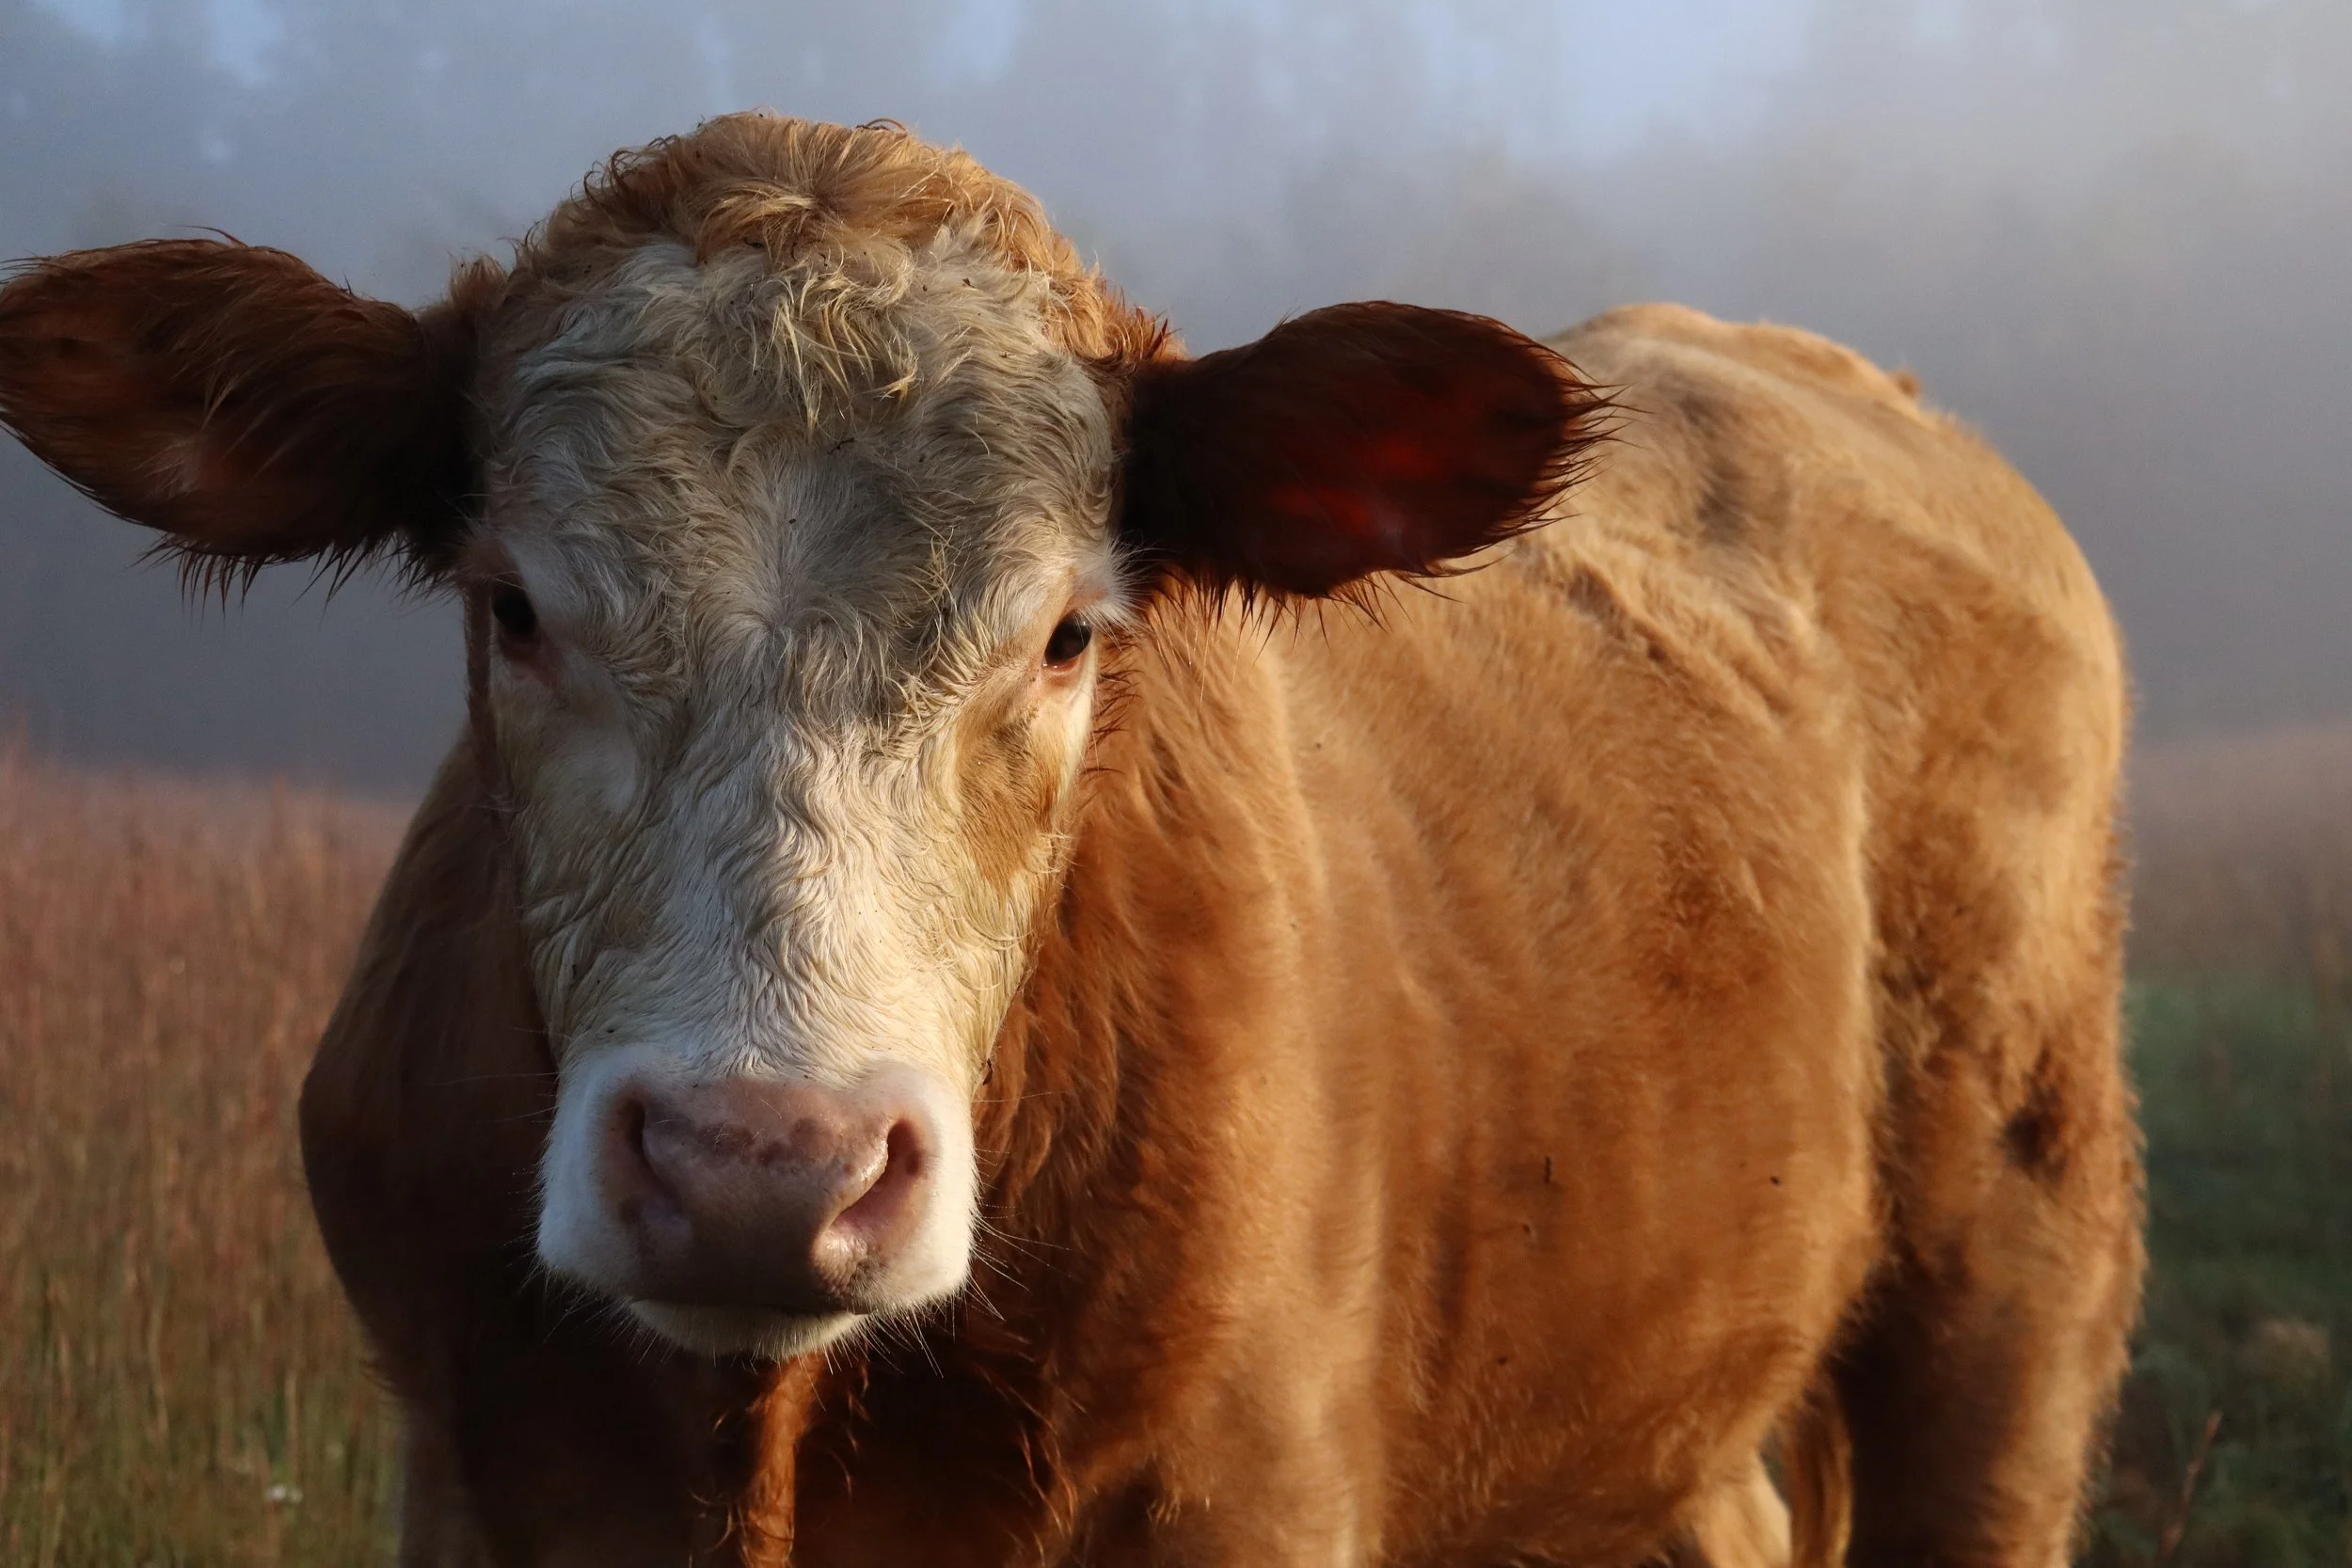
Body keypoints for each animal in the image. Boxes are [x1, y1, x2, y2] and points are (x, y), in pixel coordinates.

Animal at [0, 113, 2141, 1567]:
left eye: (1065, 631)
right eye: (512, 603)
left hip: (2015, 1254)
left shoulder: (1250, 1488)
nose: (763, 1167)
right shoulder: (478, 1471)